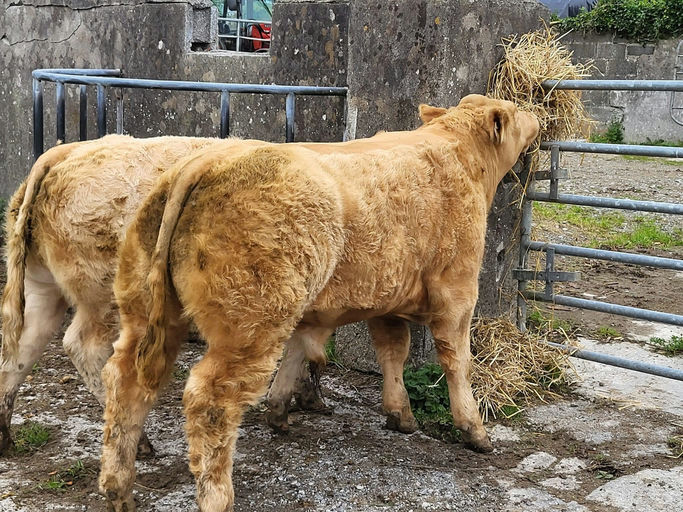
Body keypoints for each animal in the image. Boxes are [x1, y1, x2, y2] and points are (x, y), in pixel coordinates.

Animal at [99, 94, 540, 512]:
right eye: (516, 110)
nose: (537, 117)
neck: (456, 151)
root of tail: (210, 160)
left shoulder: (385, 299)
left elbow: (385, 353)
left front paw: (394, 414)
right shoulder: (458, 293)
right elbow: (457, 362)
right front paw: (475, 430)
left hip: (146, 311)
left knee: (124, 379)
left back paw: (119, 487)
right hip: (251, 324)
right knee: (209, 399)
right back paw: (216, 496)